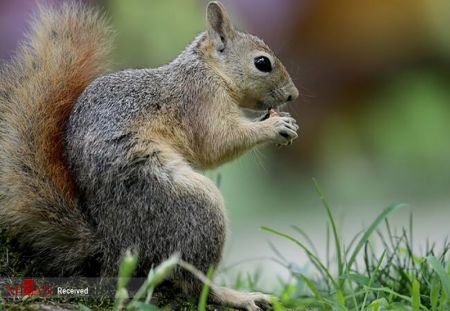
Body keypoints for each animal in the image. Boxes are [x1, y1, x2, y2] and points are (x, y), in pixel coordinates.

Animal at [1, 1, 300, 310]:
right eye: (262, 63)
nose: (294, 94)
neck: (208, 70)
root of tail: (113, 244)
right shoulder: (200, 103)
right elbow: (217, 143)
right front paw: (273, 126)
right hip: (189, 204)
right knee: (194, 283)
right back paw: (237, 296)